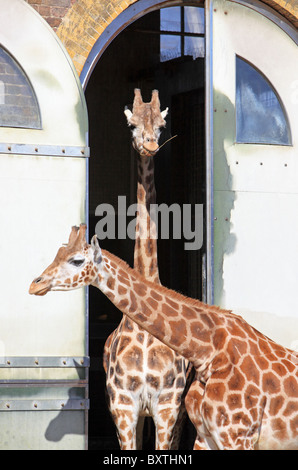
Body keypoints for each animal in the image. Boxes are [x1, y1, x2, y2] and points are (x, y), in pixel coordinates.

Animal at [29, 226, 298, 450]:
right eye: (57, 254)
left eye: (76, 260)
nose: (34, 285)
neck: (207, 352)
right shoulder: (205, 436)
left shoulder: (236, 435)